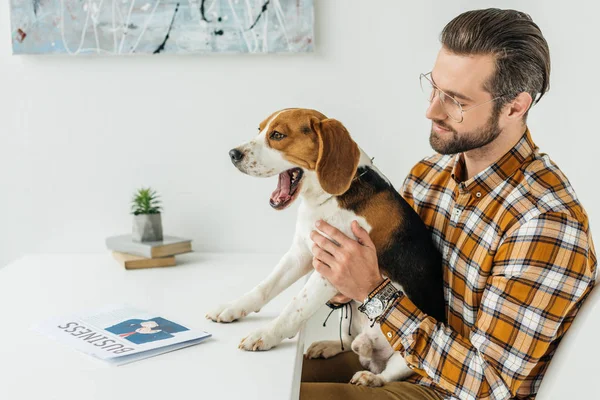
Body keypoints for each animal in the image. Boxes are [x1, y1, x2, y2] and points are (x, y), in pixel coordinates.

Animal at [206, 108, 446, 386]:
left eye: (277, 135)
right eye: (259, 129)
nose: (233, 154)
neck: (328, 200)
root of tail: (372, 354)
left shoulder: (332, 269)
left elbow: (295, 307)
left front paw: (266, 334)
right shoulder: (300, 254)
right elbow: (265, 287)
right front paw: (233, 308)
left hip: (408, 350)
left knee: (390, 371)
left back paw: (370, 378)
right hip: (350, 315)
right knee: (350, 341)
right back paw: (329, 346)